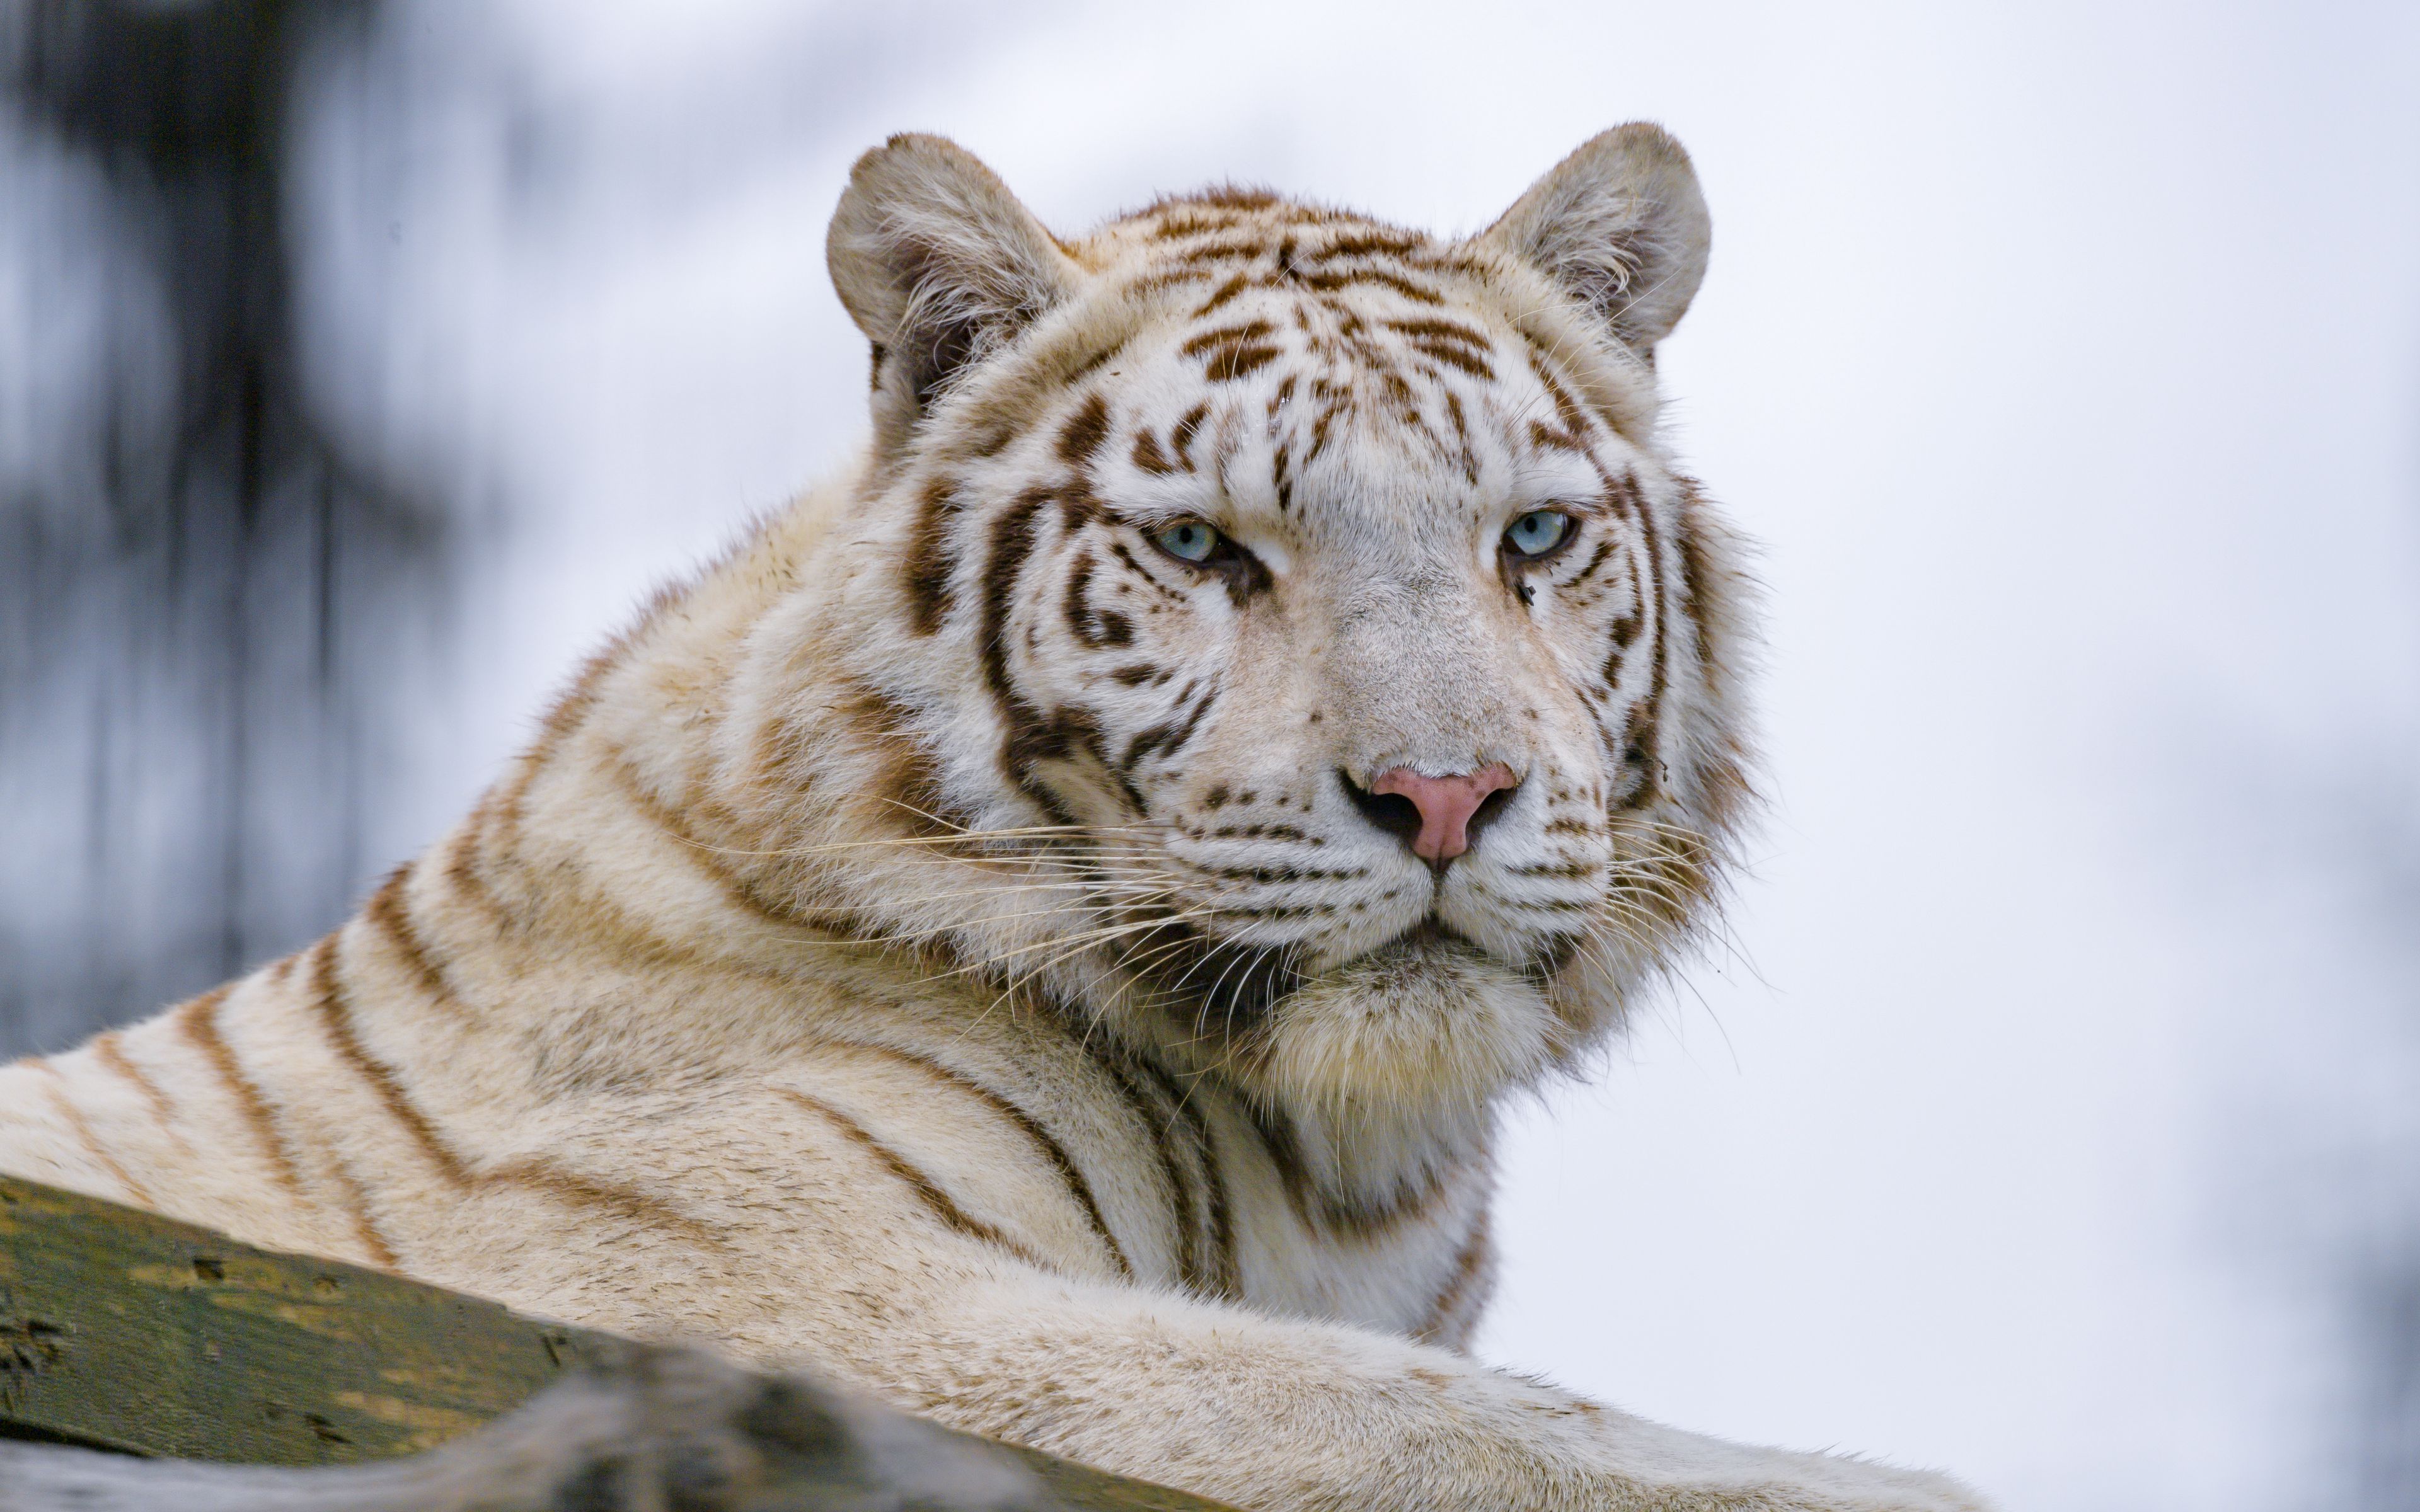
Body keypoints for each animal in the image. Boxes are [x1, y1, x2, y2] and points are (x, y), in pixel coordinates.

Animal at [0, 126, 1990, 1511]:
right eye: (1199, 545)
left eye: (1534, 536)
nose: (1447, 795)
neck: (1348, 1168)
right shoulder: (730, 1279)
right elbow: (1415, 1419)